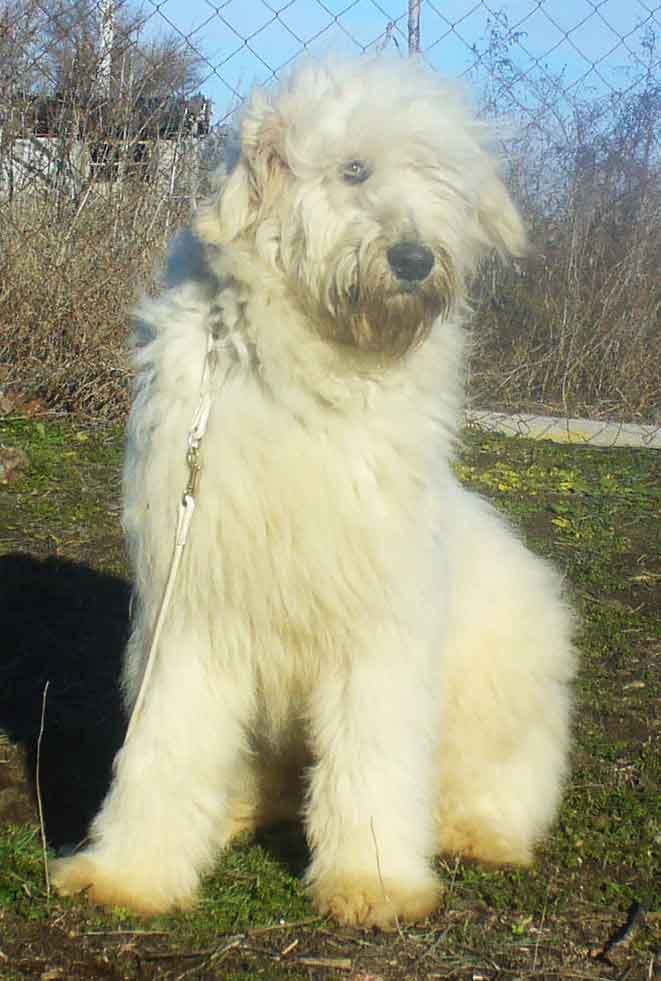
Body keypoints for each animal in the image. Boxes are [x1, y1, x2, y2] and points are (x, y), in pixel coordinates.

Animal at [51, 56, 576, 929]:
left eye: (437, 176)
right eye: (352, 170)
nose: (414, 260)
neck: (307, 370)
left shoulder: (378, 618)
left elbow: (373, 752)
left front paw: (372, 879)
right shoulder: (193, 599)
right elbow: (164, 742)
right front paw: (130, 871)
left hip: (503, 679)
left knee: (508, 776)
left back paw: (478, 829)